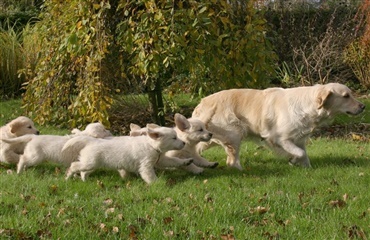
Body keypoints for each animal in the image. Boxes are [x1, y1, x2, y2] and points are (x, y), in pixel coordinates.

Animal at [192, 83, 366, 170]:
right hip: (234, 133)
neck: (307, 105)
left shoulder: (299, 139)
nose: (363, 106)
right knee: (232, 162)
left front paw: (306, 167)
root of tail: (203, 103)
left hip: (211, 137)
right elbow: (300, 153)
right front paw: (293, 160)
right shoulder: (280, 138)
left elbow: (304, 154)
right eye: (346, 96)